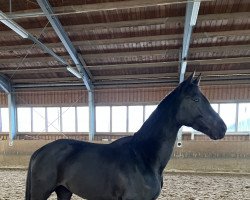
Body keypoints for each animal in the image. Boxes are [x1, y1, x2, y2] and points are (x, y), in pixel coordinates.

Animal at [24, 72, 227, 200]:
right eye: (196, 99)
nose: (222, 128)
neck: (143, 156)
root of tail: (39, 152)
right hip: (41, 193)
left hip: (64, 192)